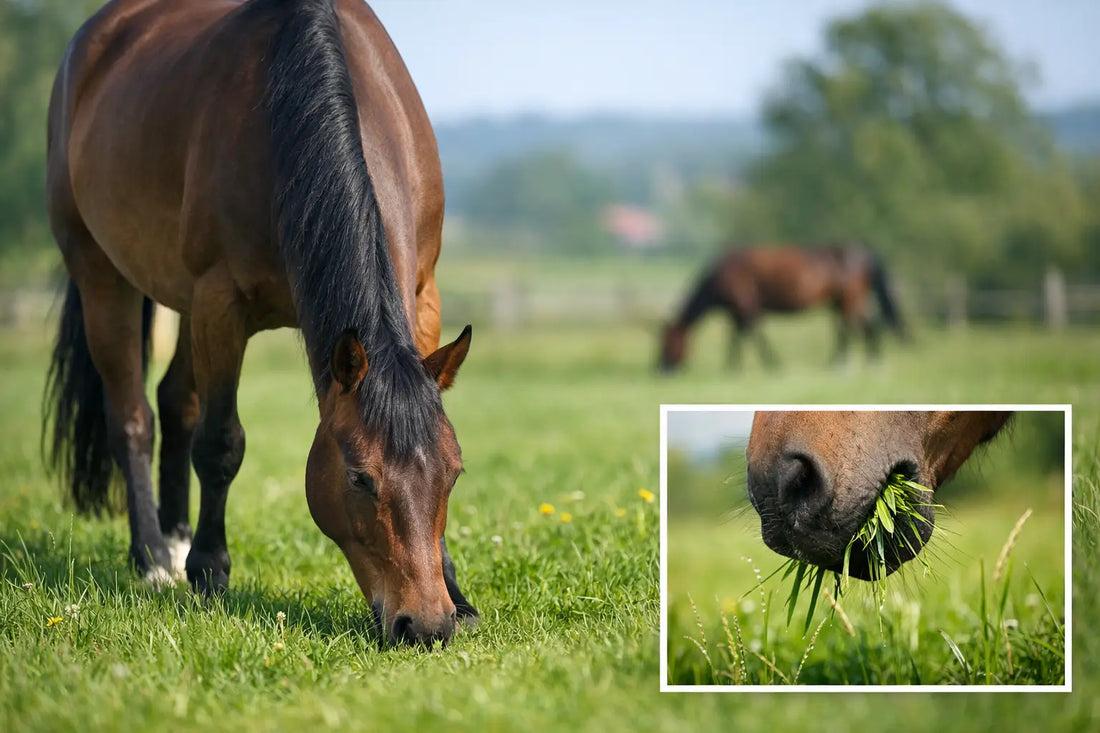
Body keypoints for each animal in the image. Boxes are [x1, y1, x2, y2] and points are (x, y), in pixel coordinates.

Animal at [43, 0, 476, 647]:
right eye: (359, 479)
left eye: (453, 475)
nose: (423, 626)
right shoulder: (220, 301)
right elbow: (221, 443)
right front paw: (210, 571)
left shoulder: (424, 295)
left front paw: (458, 592)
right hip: (101, 274)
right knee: (133, 417)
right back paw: (154, 558)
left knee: (175, 400)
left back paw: (174, 538)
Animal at [658, 244, 906, 372]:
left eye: (667, 342)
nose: (660, 368)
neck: (722, 275)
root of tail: (864, 254)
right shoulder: (737, 312)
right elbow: (737, 337)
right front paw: (732, 366)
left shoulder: (746, 307)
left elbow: (754, 335)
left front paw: (773, 364)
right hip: (846, 301)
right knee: (866, 326)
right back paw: (870, 362)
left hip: (849, 300)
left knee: (852, 328)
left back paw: (841, 364)